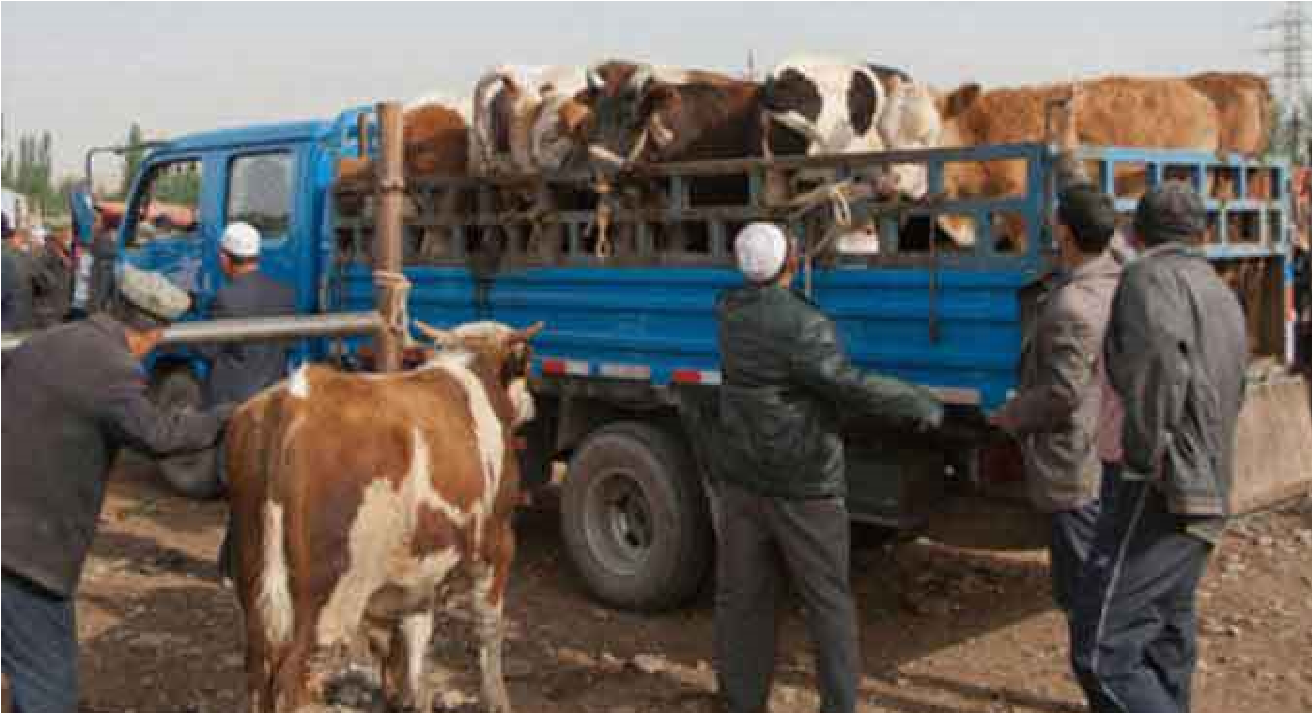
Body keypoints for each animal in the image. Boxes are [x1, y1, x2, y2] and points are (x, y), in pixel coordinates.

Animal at [228, 321, 545, 713]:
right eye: (525, 363)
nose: (532, 403)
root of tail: (293, 400)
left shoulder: (414, 569)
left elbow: (410, 637)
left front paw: (408, 696)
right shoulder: (497, 543)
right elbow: (488, 627)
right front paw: (496, 698)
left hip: (254, 589)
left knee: (258, 671)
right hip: (325, 605)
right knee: (289, 679)